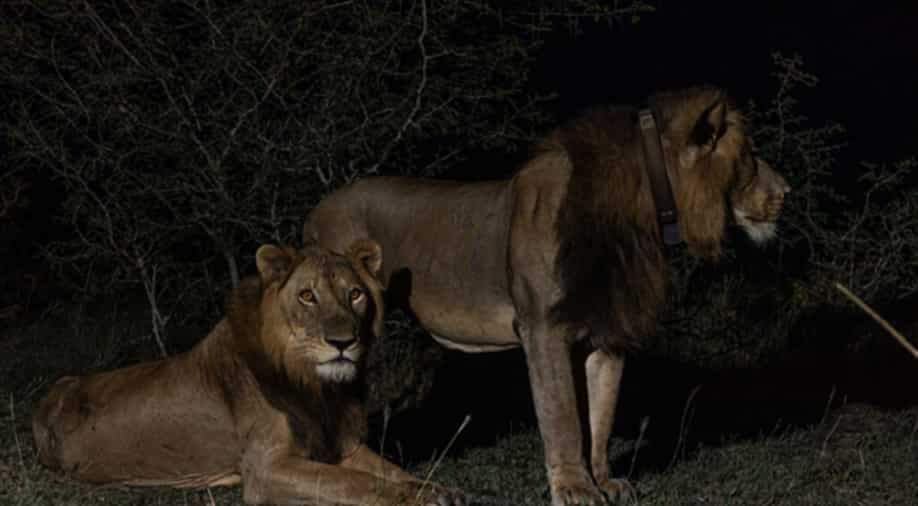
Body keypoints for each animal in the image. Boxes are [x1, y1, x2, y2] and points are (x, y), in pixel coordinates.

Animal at [32, 240, 463, 506]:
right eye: (307, 295)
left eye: (355, 294)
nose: (343, 342)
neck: (316, 386)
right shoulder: (265, 469)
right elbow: (355, 482)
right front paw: (421, 497)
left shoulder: (342, 445)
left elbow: (388, 470)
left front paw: (435, 488)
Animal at [304, 86, 790, 505]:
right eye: (750, 155)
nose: (786, 191)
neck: (641, 214)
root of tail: (317, 209)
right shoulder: (542, 327)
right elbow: (563, 416)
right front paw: (574, 488)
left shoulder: (608, 331)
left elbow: (601, 415)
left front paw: (604, 481)